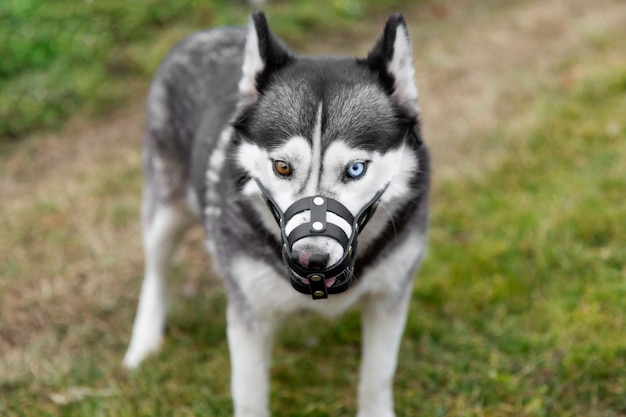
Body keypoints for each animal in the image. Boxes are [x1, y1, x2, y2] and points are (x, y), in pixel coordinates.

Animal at [125, 11, 428, 416]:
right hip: (167, 211)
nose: (311, 261)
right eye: (282, 167)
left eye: (355, 169)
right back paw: (143, 342)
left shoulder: (390, 297)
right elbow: (250, 397)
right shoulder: (250, 318)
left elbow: (377, 378)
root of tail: (204, 33)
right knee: (155, 272)